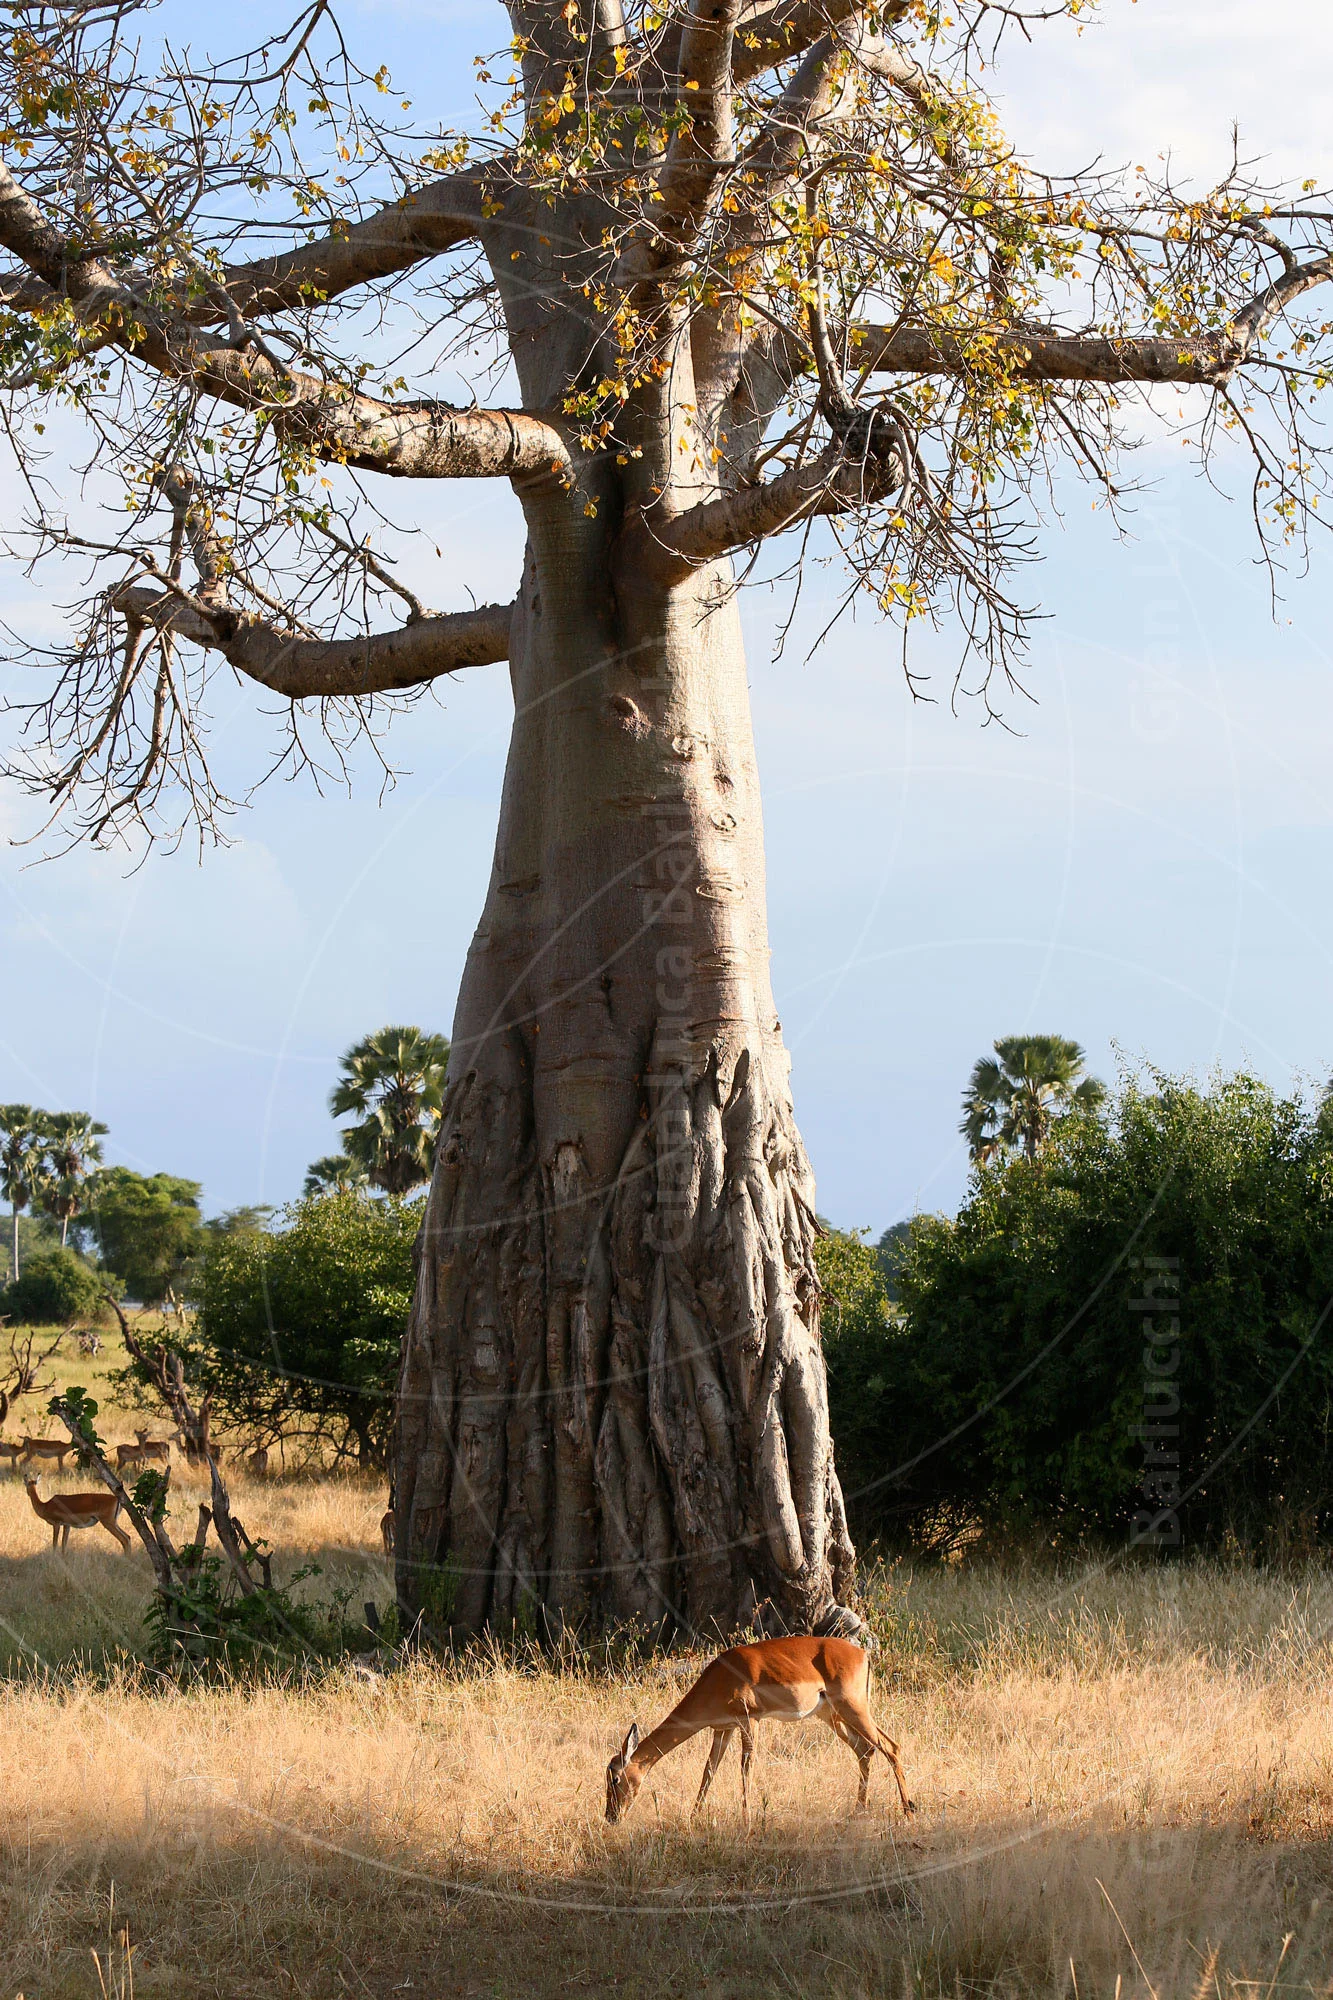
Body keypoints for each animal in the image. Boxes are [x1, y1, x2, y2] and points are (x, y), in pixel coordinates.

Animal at [604, 1637, 914, 1825]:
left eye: (616, 1778)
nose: (610, 1816)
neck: (718, 1680)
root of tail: (862, 1654)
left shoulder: (750, 1721)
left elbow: (746, 1768)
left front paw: (747, 1820)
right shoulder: (722, 1729)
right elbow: (709, 1771)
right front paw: (693, 1818)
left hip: (853, 1708)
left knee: (891, 1747)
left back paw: (909, 1810)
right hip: (833, 1715)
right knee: (865, 1749)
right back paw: (858, 1811)